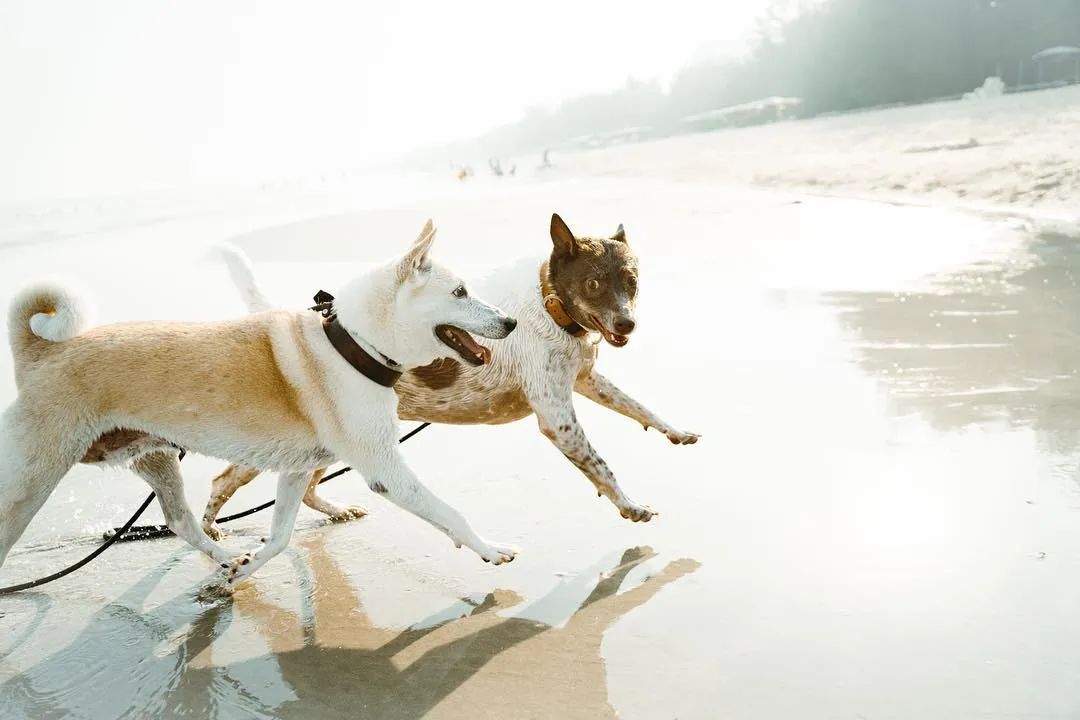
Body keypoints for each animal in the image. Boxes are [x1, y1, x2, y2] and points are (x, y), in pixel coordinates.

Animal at [0, 222, 518, 587]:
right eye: (459, 292)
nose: (511, 322)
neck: (351, 343)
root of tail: (42, 352)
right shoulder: (384, 469)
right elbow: (450, 513)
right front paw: (490, 549)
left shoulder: (295, 471)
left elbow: (281, 535)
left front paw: (246, 570)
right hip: (30, 481)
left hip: (157, 458)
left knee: (182, 523)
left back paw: (225, 558)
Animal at [194, 211, 699, 533]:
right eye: (593, 283)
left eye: (632, 282)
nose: (627, 324)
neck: (550, 305)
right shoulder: (557, 418)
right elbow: (601, 466)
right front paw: (630, 506)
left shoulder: (586, 380)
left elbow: (641, 408)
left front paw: (676, 432)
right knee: (223, 481)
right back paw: (210, 536)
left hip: (337, 443)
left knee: (308, 488)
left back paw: (334, 511)